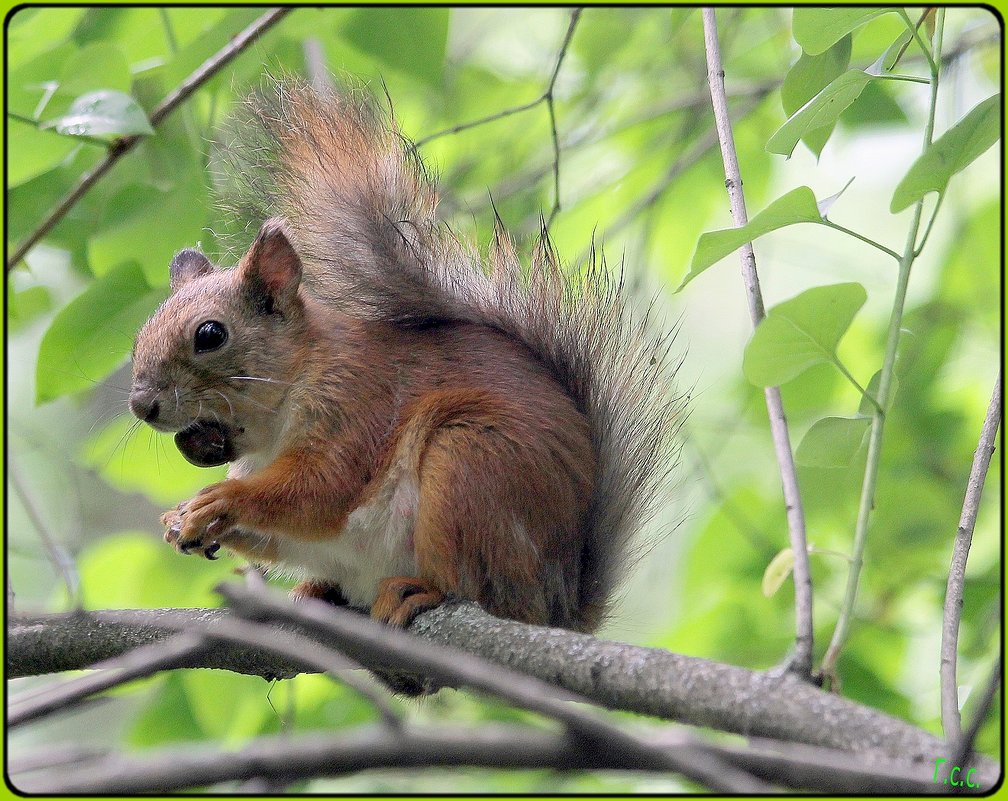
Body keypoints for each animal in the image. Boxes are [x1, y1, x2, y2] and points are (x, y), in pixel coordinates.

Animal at [123, 80, 677, 632]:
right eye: (140, 336)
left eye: (210, 334)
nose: (142, 406)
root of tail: (559, 609)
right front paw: (180, 519)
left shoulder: (357, 402)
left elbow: (321, 489)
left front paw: (223, 500)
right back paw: (318, 593)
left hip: (470, 464)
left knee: (481, 589)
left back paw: (422, 590)